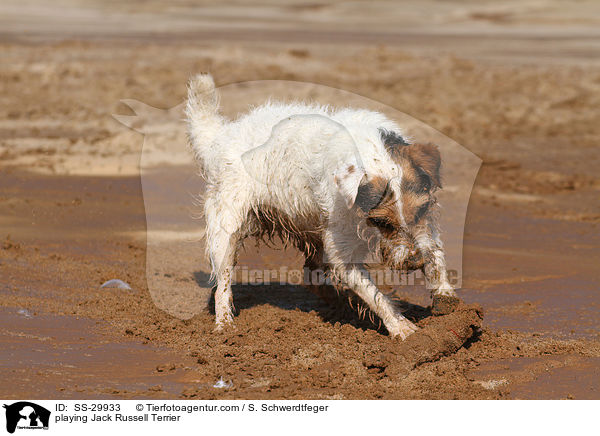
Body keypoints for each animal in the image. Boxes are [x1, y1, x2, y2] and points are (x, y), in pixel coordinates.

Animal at [185, 74, 458, 340]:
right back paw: (224, 325)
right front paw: (401, 327)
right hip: (226, 230)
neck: (369, 148)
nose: (416, 262)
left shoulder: (424, 223)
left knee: (312, 278)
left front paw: (444, 293)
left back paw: (341, 304)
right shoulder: (342, 252)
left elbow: (434, 250)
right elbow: (374, 295)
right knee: (222, 283)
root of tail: (221, 136)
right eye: (381, 222)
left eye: (420, 211)